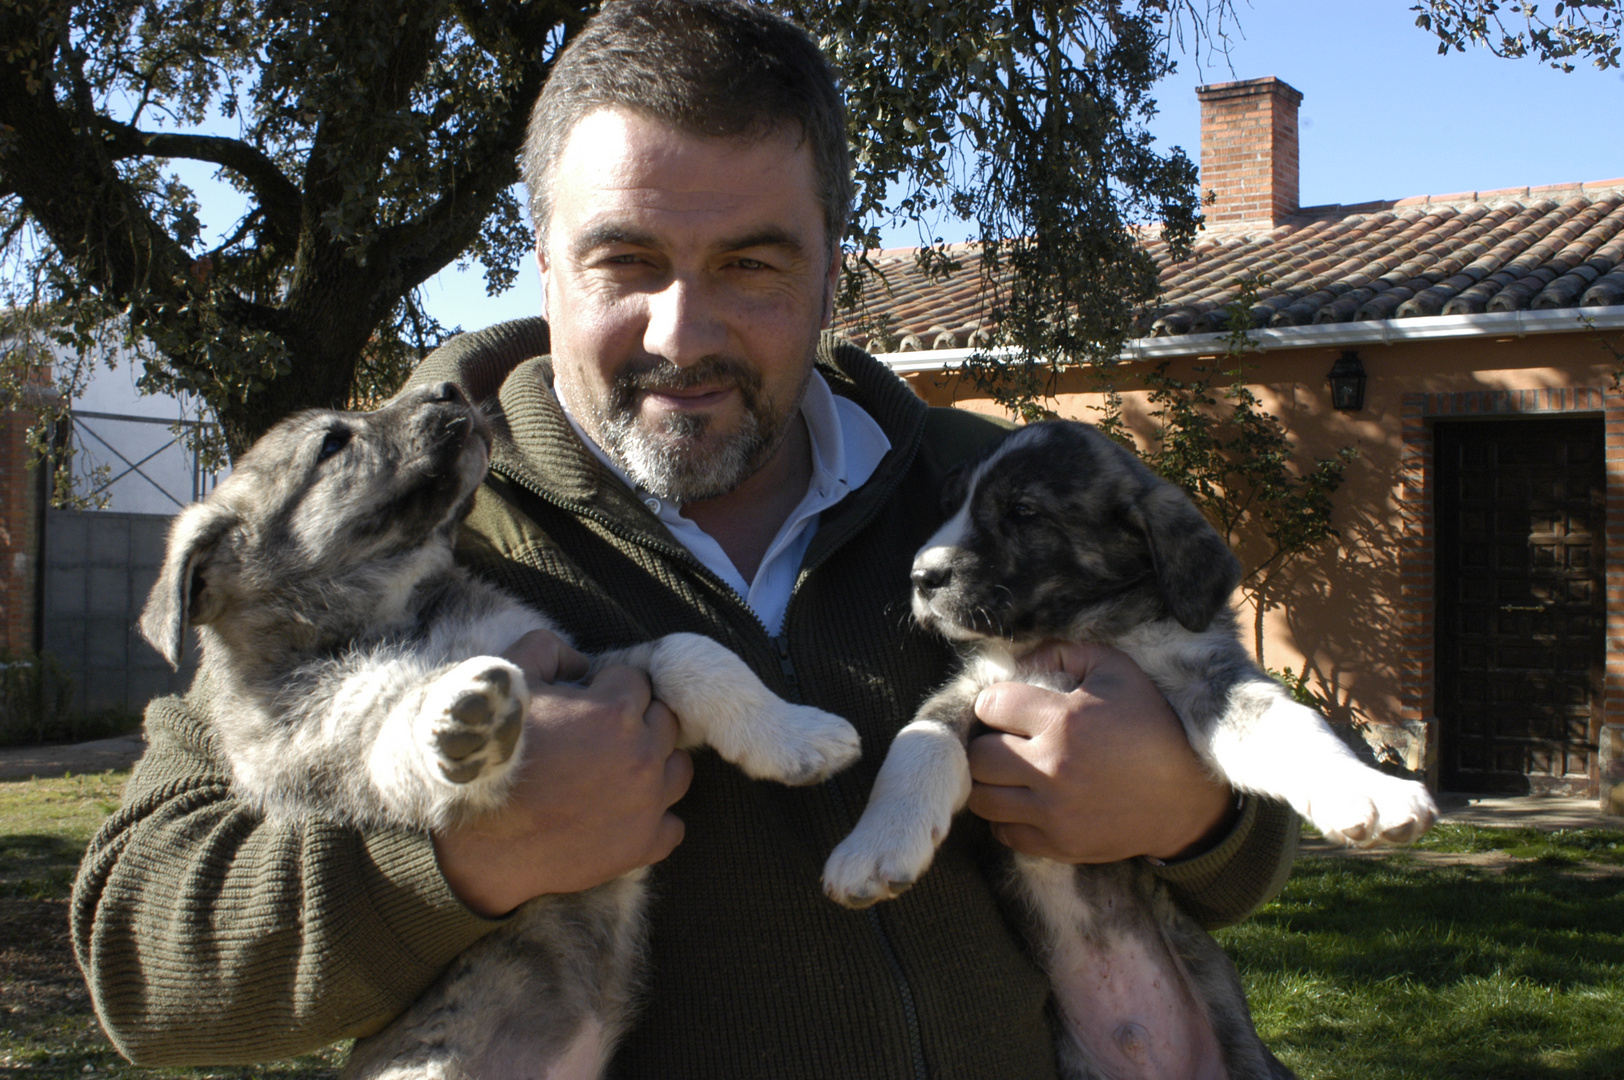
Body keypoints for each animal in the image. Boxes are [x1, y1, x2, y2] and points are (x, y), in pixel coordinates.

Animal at [139, 381, 863, 1078]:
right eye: (333, 443)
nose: (447, 389)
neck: (399, 614)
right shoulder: (334, 744)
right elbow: (395, 733)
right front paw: (457, 718)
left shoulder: (590, 671)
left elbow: (690, 652)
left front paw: (800, 736)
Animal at [824, 419, 1435, 1078]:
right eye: (950, 503)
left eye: (1023, 511)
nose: (921, 579)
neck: (1082, 625)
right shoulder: (972, 689)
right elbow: (920, 746)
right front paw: (874, 847)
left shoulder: (1206, 674)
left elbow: (1288, 725)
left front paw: (1369, 789)